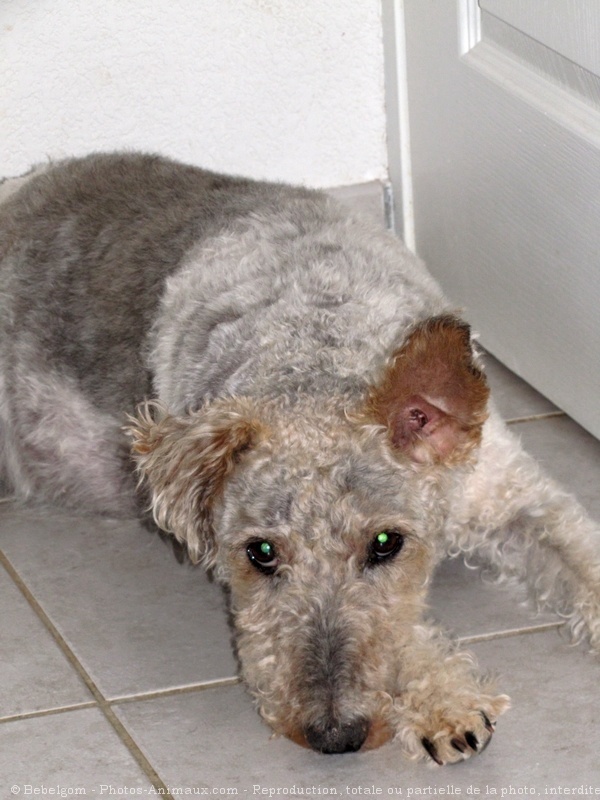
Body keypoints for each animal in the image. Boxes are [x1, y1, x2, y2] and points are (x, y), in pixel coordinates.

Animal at [1, 155, 600, 764]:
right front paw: (446, 702)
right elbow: (403, 631)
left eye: (386, 542)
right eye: (260, 552)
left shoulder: (514, 495)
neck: (314, 350)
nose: (334, 735)